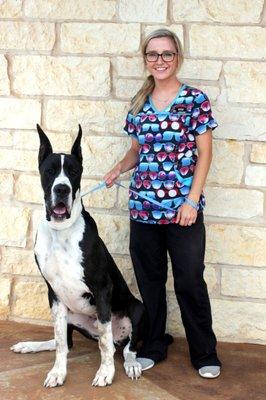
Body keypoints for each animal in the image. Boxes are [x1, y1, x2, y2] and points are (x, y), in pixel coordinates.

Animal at [10, 125, 145, 388]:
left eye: (73, 171)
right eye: (50, 171)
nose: (62, 189)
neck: (61, 230)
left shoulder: (102, 289)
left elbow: (105, 343)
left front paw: (105, 372)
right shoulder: (54, 293)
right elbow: (61, 342)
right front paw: (57, 372)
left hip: (137, 308)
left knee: (126, 347)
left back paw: (132, 363)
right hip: (69, 311)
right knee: (65, 341)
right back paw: (31, 345)